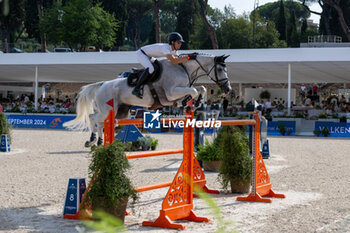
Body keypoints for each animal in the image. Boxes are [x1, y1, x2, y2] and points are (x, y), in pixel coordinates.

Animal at [64, 53, 231, 146]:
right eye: (220, 69)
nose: (228, 88)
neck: (183, 68)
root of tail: (102, 84)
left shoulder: (176, 94)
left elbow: (200, 88)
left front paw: (194, 103)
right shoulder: (171, 93)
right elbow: (195, 90)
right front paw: (191, 102)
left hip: (120, 113)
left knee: (100, 123)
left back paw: (98, 142)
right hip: (107, 110)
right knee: (93, 118)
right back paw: (91, 140)